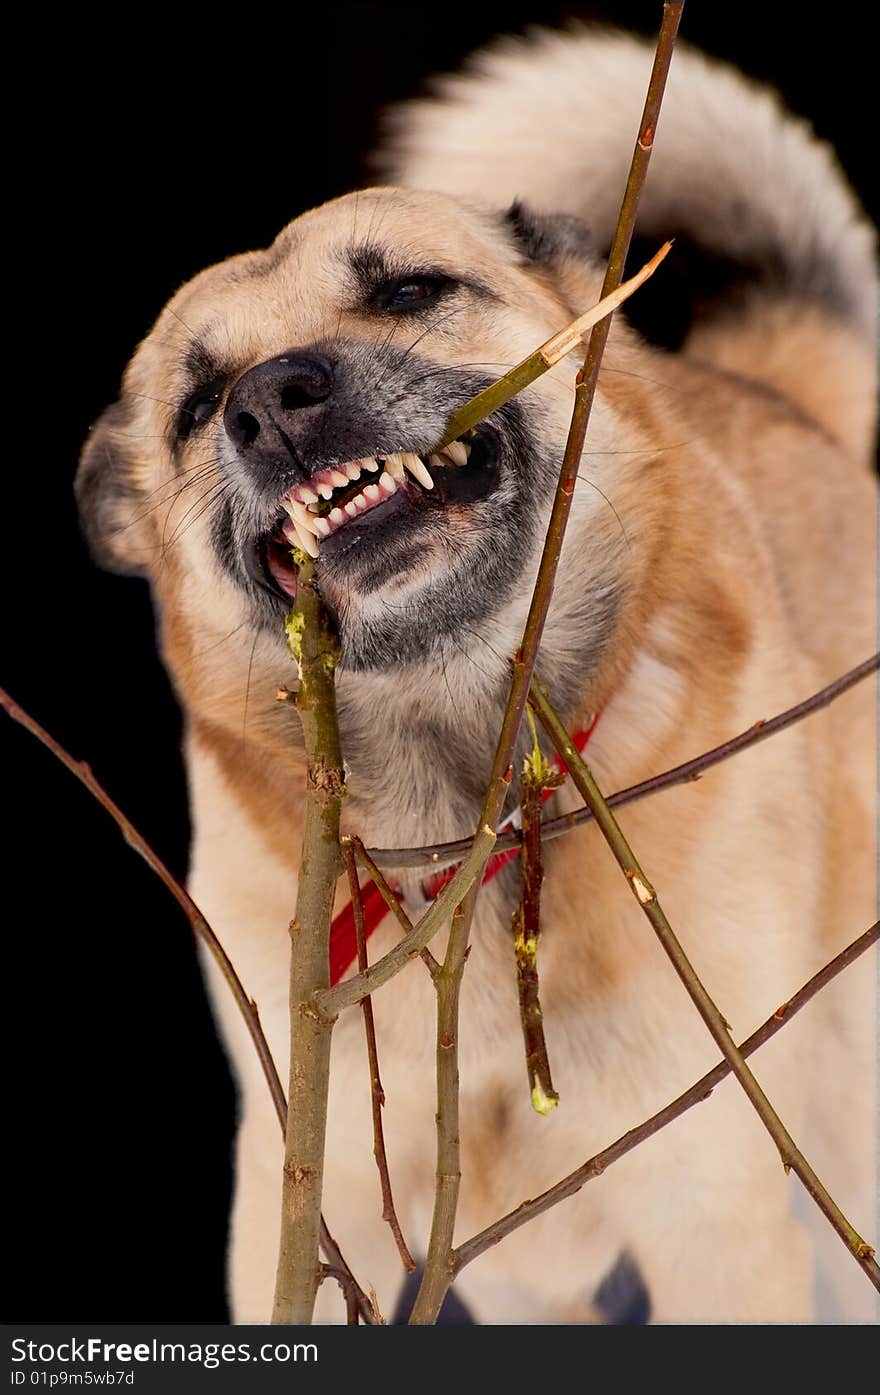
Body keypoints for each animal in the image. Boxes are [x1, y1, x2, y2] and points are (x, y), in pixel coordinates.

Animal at [75, 27, 875, 1322]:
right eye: (194, 405)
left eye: (409, 289)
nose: (270, 402)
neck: (462, 813)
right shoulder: (314, 1202)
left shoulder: (711, 1213)